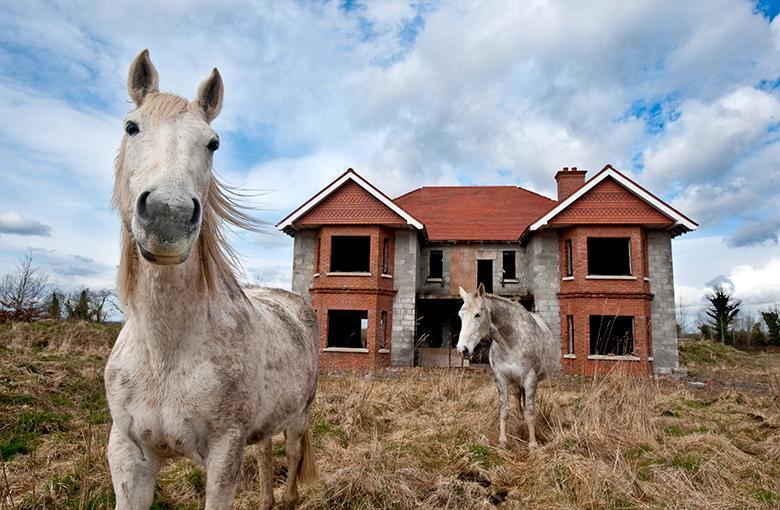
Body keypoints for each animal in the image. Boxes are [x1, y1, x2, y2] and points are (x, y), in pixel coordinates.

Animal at [105, 49, 319, 510]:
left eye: (213, 144)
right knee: (265, 453)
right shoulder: (128, 455)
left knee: (291, 459)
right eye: (131, 127)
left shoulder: (223, 454)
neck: (166, 351)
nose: (168, 214)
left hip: (299, 418)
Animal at [456, 284, 560, 448]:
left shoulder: (530, 379)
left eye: (477, 315)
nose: (462, 349)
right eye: (460, 315)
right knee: (517, 395)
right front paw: (503, 441)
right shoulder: (501, 379)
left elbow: (530, 412)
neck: (511, 342)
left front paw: (533, 444)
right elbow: (504, 410)